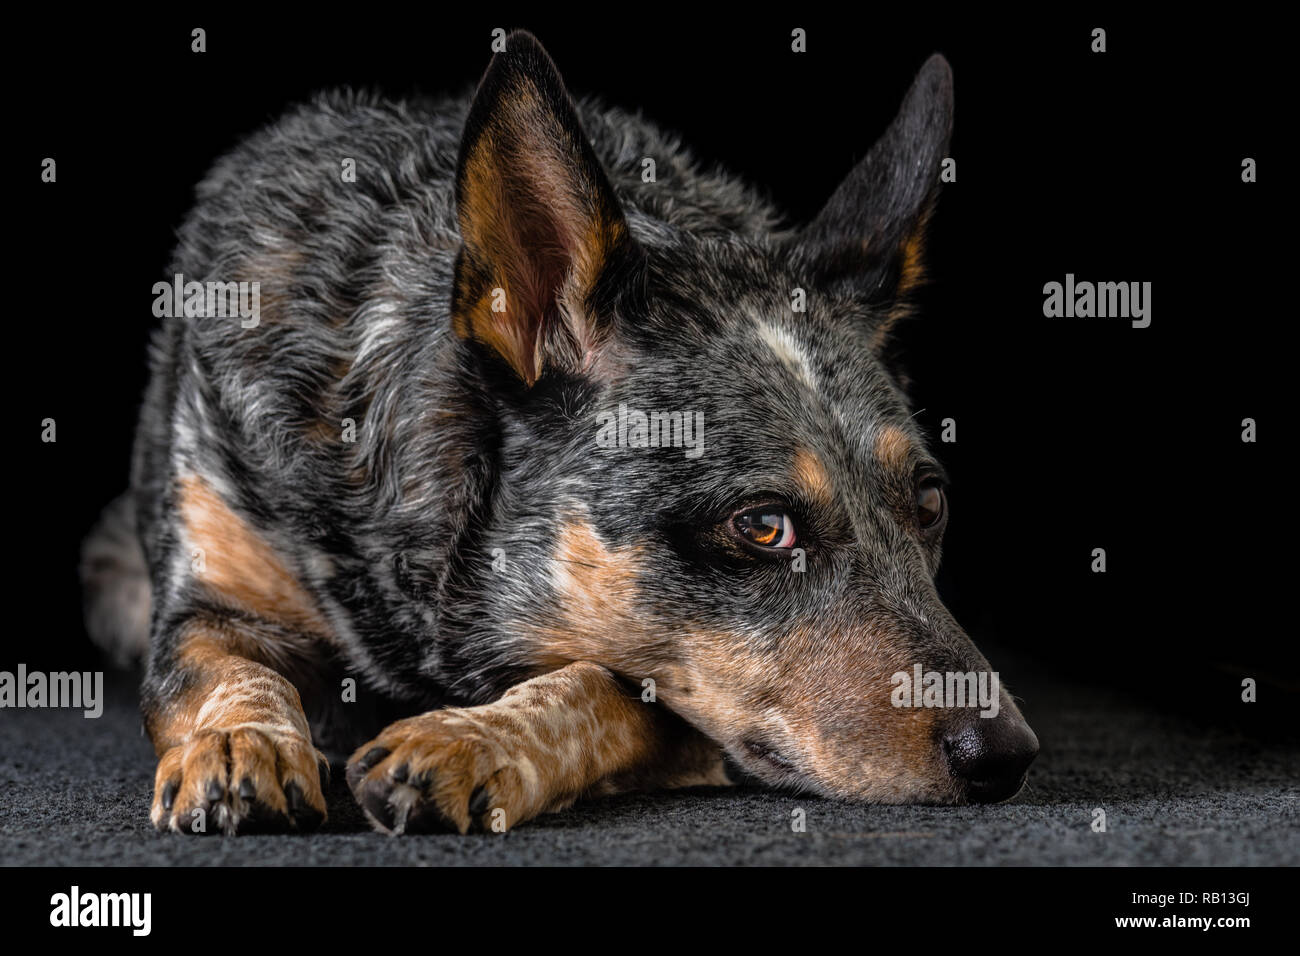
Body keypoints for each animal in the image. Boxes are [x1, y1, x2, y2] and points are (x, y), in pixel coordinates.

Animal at [81, 31, 1034, 837]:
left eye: (931, 504)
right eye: (764, 526)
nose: (1008, 757)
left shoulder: (682, 703)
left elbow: (597, 685)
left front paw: (466, 743)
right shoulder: (210, 594)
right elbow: (232, 671)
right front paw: (239, 743)